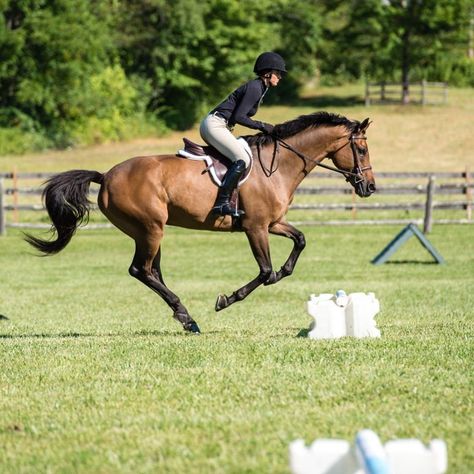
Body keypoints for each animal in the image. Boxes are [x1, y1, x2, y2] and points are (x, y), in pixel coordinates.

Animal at [25, 112, 376, 334]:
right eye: (361, 149)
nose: (370, 187)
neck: (279, 165)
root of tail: (106, 175)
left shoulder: (273, 222)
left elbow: (298, 243)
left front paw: (281, 272)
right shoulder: (255, 227)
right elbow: (265, 271)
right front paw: (226, 300)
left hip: (148, 231)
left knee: (152, 271)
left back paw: (184, 316)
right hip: (150, 228)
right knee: (141, 270)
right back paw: (186, 316)